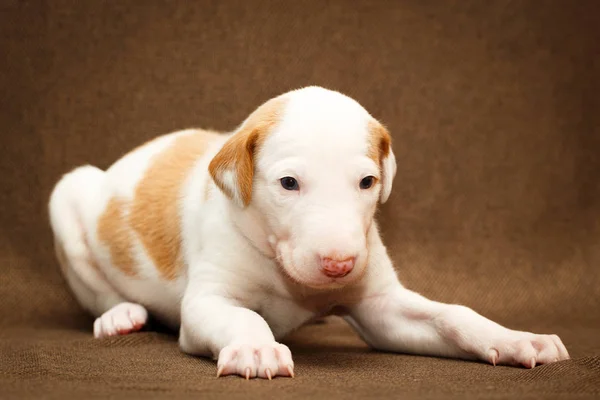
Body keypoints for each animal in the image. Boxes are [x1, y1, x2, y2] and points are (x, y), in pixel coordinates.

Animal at [49, 86, 568, 378]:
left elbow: (454, 315)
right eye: (288, 183)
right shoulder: (207, 303)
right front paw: (257, 346)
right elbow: (243, 316)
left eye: (367, 182)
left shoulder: (381, 308)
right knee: (98, 291)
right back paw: (120, 316)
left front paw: (517, 338)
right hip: (67, 199)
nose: (339, 264)